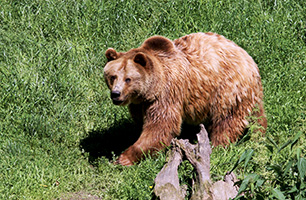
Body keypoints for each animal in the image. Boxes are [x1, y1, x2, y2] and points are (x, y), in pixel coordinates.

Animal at [103, 32, 266, 166]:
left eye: (128, 79)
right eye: (112, 76)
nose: (116, 94)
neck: (151, 89)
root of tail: (248, 58)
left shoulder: (167, 94)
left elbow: (160, 127)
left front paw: (123, 158)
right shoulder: (140, 103)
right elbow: (143, 122)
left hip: (228, 88)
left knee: (226, 120)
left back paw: (217, 146)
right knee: (258, 116)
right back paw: (259, 133)